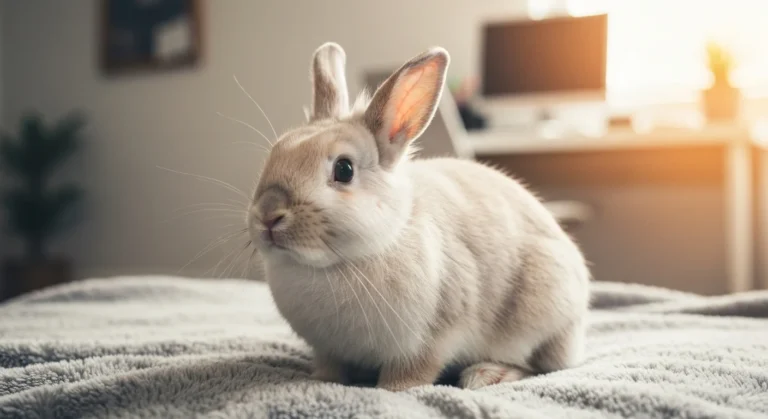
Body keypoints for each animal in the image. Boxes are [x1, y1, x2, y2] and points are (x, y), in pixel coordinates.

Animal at [246, 42, 590, 391]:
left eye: (344, 169)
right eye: (275, 153)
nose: (268, 214)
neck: (339, 263)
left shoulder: (429, 341)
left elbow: (412, 373)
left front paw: (391, 390)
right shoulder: (328, 349)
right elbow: (330, 370)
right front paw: (321, 379)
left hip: (544, 318)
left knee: (541, 366)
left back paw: (485, 375)